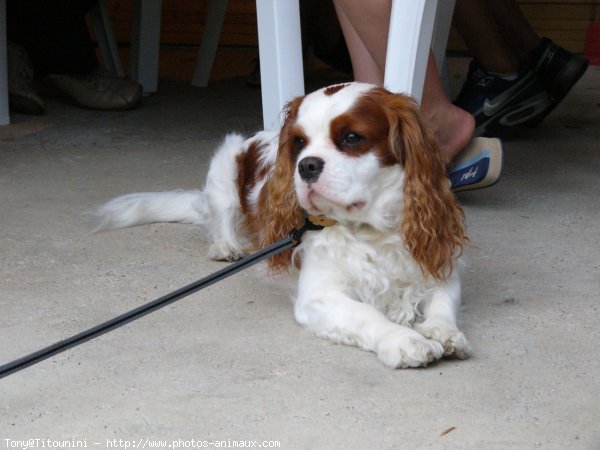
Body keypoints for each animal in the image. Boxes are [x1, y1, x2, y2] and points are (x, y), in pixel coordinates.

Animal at [94, 82, 472, 368]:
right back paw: (227, 245)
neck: (371, 232)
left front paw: (443, 332)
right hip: (224, 166)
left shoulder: (439, 267)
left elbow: (442, 303)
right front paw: (404, 340)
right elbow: (367, 314)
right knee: (221, 217)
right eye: (299, 143)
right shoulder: (318, 297)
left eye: (352, 138)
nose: (306, 165)